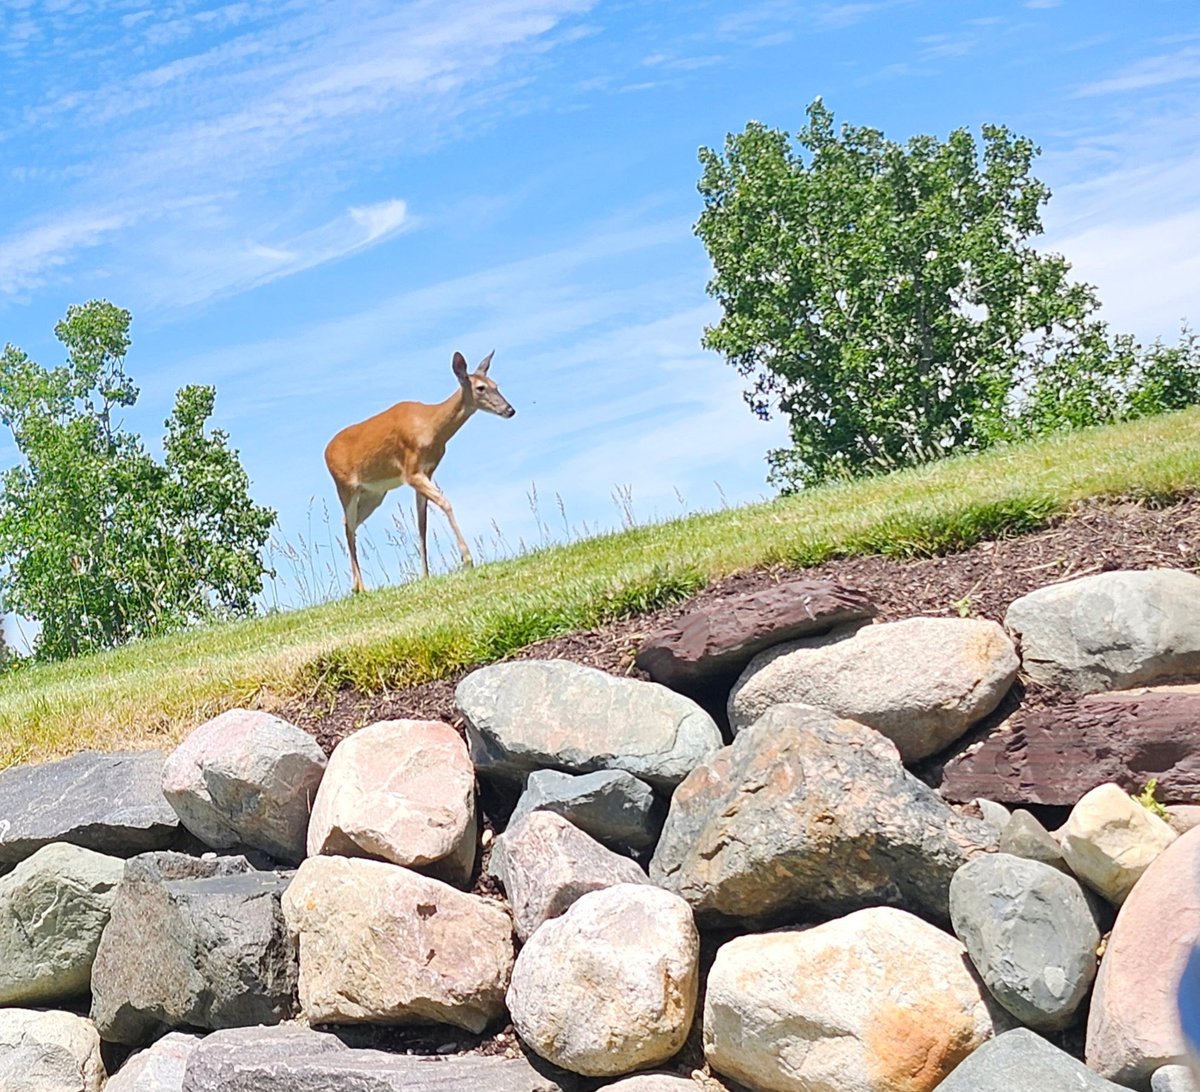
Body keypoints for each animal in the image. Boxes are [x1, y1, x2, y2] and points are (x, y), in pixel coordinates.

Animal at [324, 350, 515, 593]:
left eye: (496, 385)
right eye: (481, 387)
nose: (510, 410)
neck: (432, 426)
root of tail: (326, 451)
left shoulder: (427, 471)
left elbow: (422, 523)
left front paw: (425, 574)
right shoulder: (411, 471)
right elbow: (445, 503)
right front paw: (467, 559)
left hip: (374, 494)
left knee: (348, 524)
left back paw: (356, 586)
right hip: (345, 486)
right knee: (349, 528)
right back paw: (361, 587)